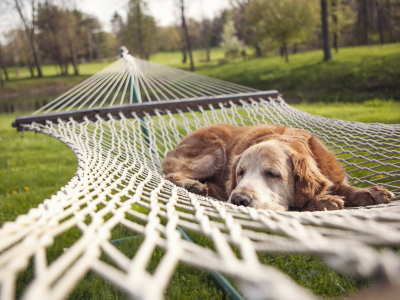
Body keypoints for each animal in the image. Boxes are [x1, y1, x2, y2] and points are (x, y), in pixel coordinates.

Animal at [162, 123, 394, 212]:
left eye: (272, 174)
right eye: (240, 173)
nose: (239, 200)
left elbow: (341, 186)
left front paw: (370, 192)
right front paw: (323, 201)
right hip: (215, 150)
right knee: (171, 175)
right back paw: (193, 184)